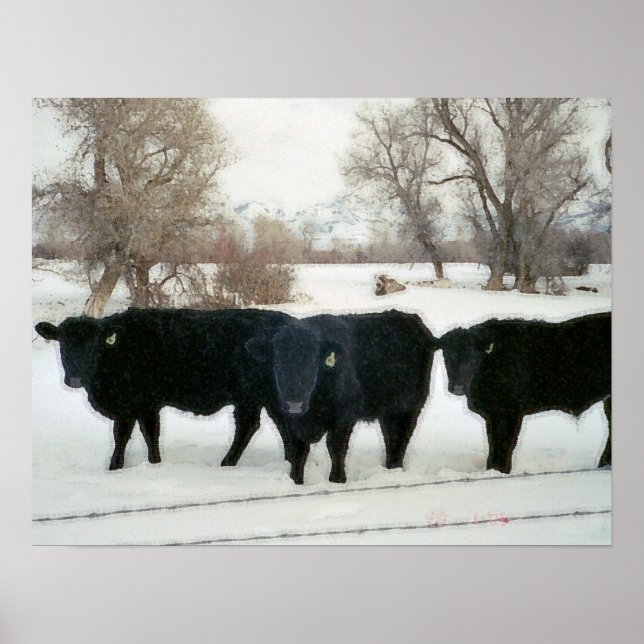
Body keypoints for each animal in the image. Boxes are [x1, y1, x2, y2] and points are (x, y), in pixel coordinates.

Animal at [35, 307, 292, 470]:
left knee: (274, 426)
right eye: (63, 345)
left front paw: (133, 466)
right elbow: (135, 435)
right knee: (250, 426)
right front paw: (134, 465)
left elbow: (137, 435)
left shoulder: (139, 405)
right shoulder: (136, 406)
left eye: (93, 345)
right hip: (249, 398)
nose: (74, 378)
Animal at [245, 310, 438, 484]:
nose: (294, 404)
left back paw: (394, 471)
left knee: (402, 439)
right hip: (389, 413)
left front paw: (337, 480)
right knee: (391, 439)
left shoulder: (344, 416)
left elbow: (336, 447)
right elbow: (297, 452)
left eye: (312, 364)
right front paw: (295, 481)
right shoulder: (291, 422)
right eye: (277, 363)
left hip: (410, 407)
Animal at [439, 312, 611, 474]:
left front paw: (501, 471)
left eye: (473, 358)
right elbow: (493, 444)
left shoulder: (510, 411)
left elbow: (504, 445)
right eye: (448, 356)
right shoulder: (492, 413)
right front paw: (491, 470)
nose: (457, 387)